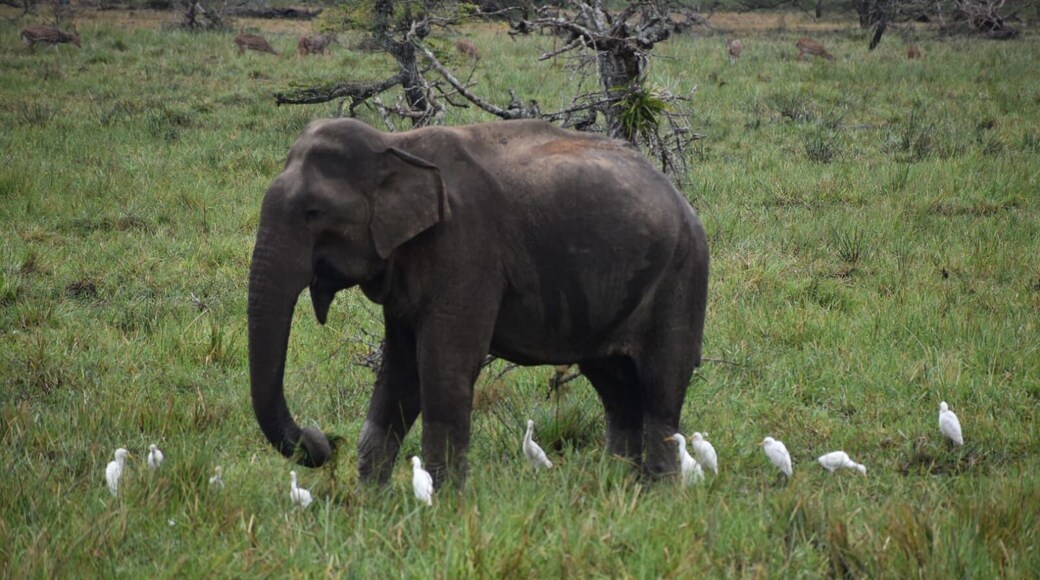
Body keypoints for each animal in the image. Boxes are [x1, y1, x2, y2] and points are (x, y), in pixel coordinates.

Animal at [248, 118, 709, 488]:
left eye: (312, 212)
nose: (322, 440)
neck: (396, 144)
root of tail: (682, 199)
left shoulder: (467, 251)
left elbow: (443, 365)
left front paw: (444, 506)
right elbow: (400, 372)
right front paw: (372, 505)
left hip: (681, 277)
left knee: (660, 387)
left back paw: (659, 494)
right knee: (616, 389)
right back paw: (620, 490)